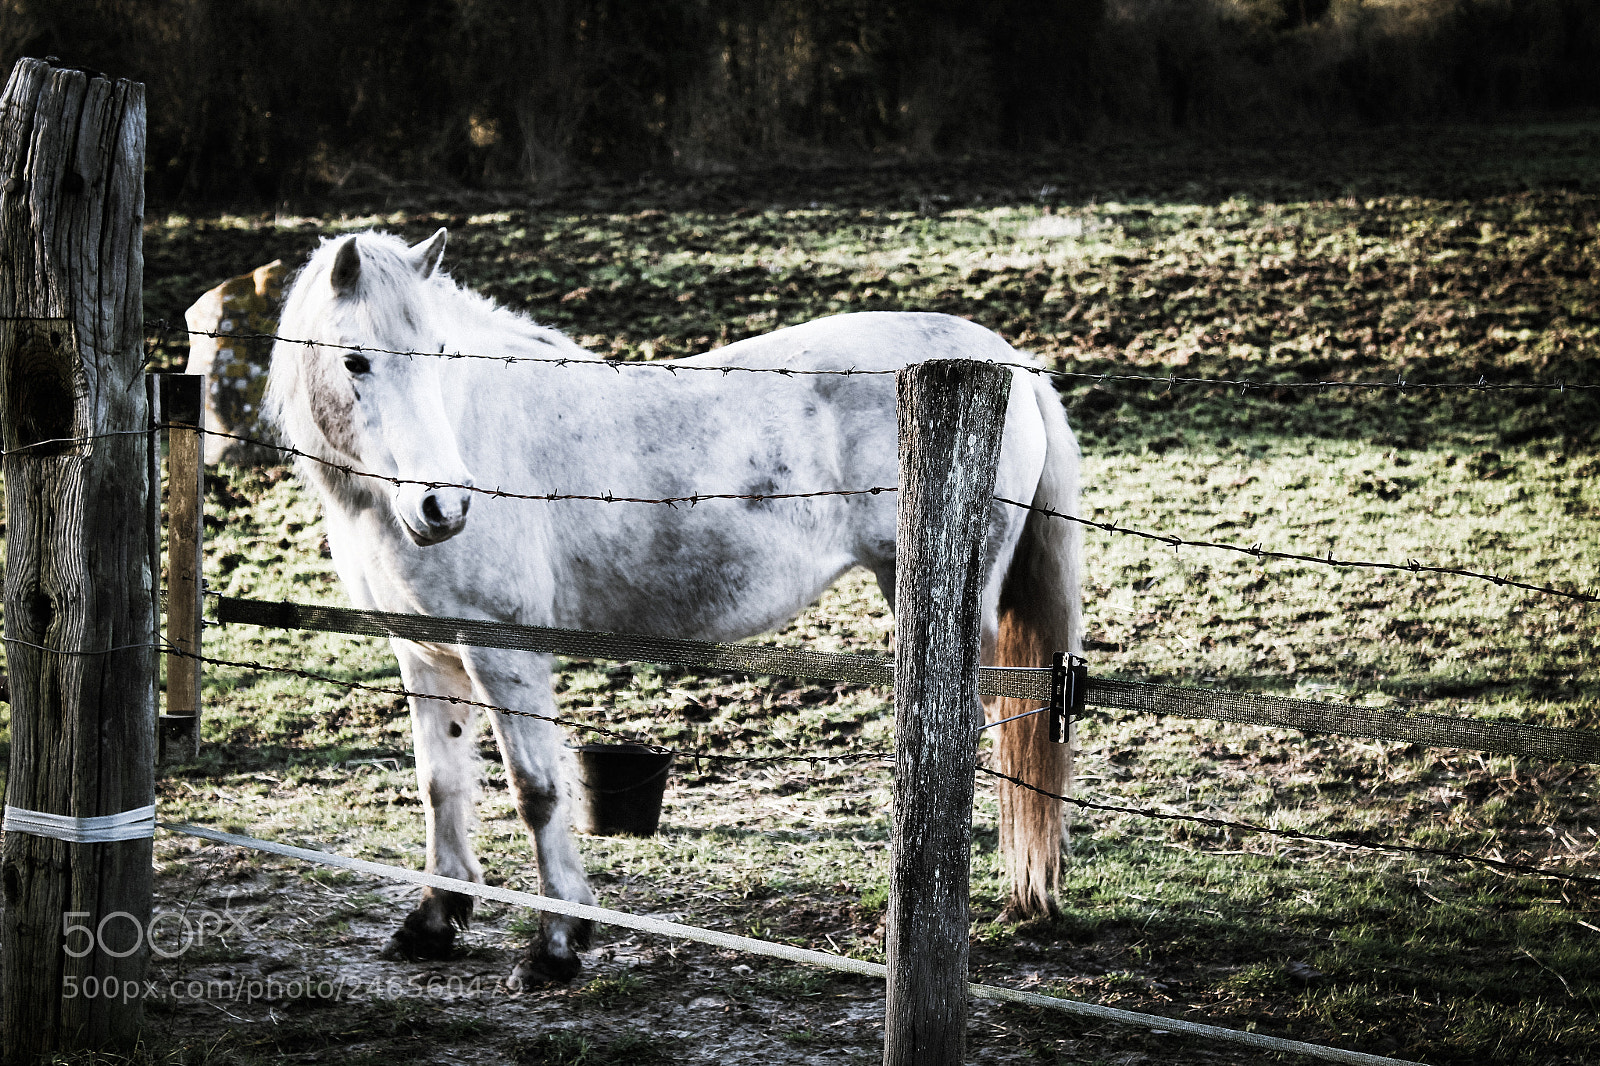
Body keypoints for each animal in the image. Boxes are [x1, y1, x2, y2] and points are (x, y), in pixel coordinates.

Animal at [266, 228, 1083, 986]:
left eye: (438, 353)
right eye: (355, 361)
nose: (444, 507)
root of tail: (1007, 362)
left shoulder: (502, 652)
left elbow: (537, 792)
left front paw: (556, 944)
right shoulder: (424, 651)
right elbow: (439, 785)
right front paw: (435, 920)